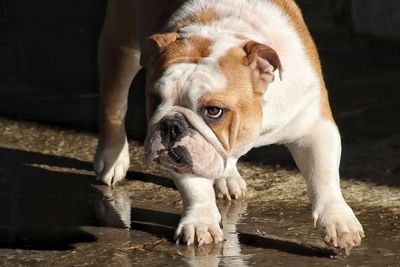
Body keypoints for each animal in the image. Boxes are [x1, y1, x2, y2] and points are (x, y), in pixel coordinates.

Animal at [94, 0, 366, 250]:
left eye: (214, 111)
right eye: (155, 100)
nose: (171, 126)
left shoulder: (314, 126)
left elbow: (323, 175)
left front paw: (338, 220)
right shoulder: (187, 156)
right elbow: (194, 186)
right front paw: (200, 222)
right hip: (121, 45)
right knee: (114, 105)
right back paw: (112, 158)